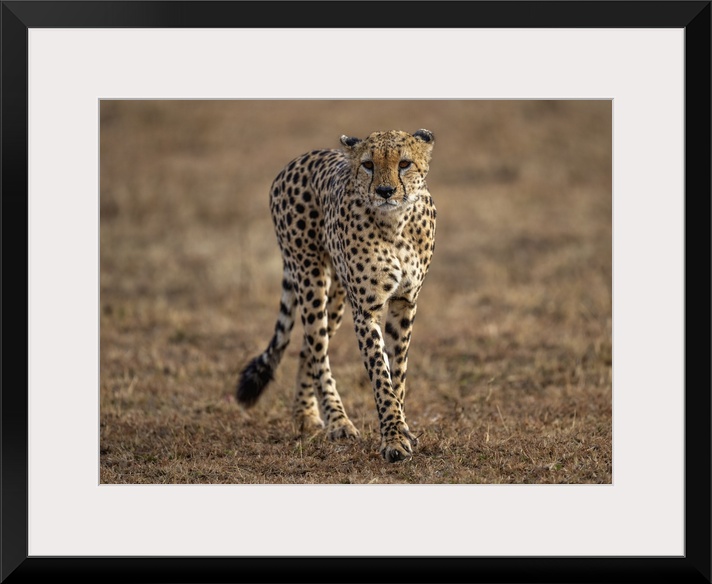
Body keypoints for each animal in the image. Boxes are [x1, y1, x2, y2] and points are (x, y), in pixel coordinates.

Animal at [236, 129, 436, 462]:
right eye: (368, 164)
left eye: (405, 163)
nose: (385, 191)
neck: (395, 224)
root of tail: (298, 159)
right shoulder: (366, 309)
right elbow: (380, 375)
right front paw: (393, 439)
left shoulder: (405, 302)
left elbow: (398, 373)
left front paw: (402, 429)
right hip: (310, 277)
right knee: (317, 348)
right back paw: (337, 420)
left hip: (339, 295)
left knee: (308, 346)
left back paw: (305, 413)